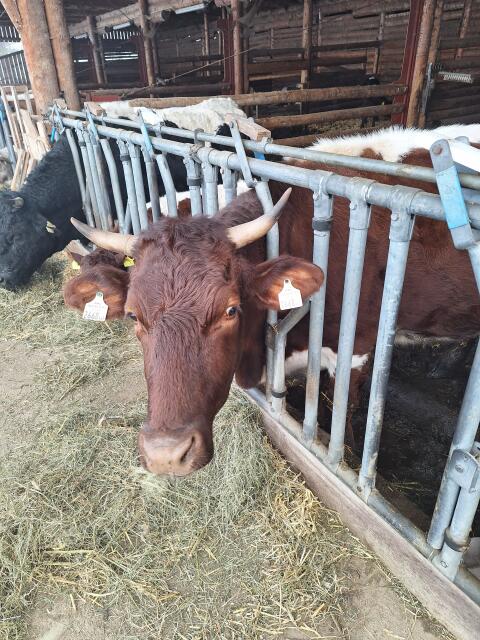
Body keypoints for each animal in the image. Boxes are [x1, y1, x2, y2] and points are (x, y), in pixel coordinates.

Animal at [63, 126, 480, 477]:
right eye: (134, 315)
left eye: (231, 309)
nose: (167, 454)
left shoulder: (358, 346)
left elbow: (341, 410)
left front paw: (344, 451)